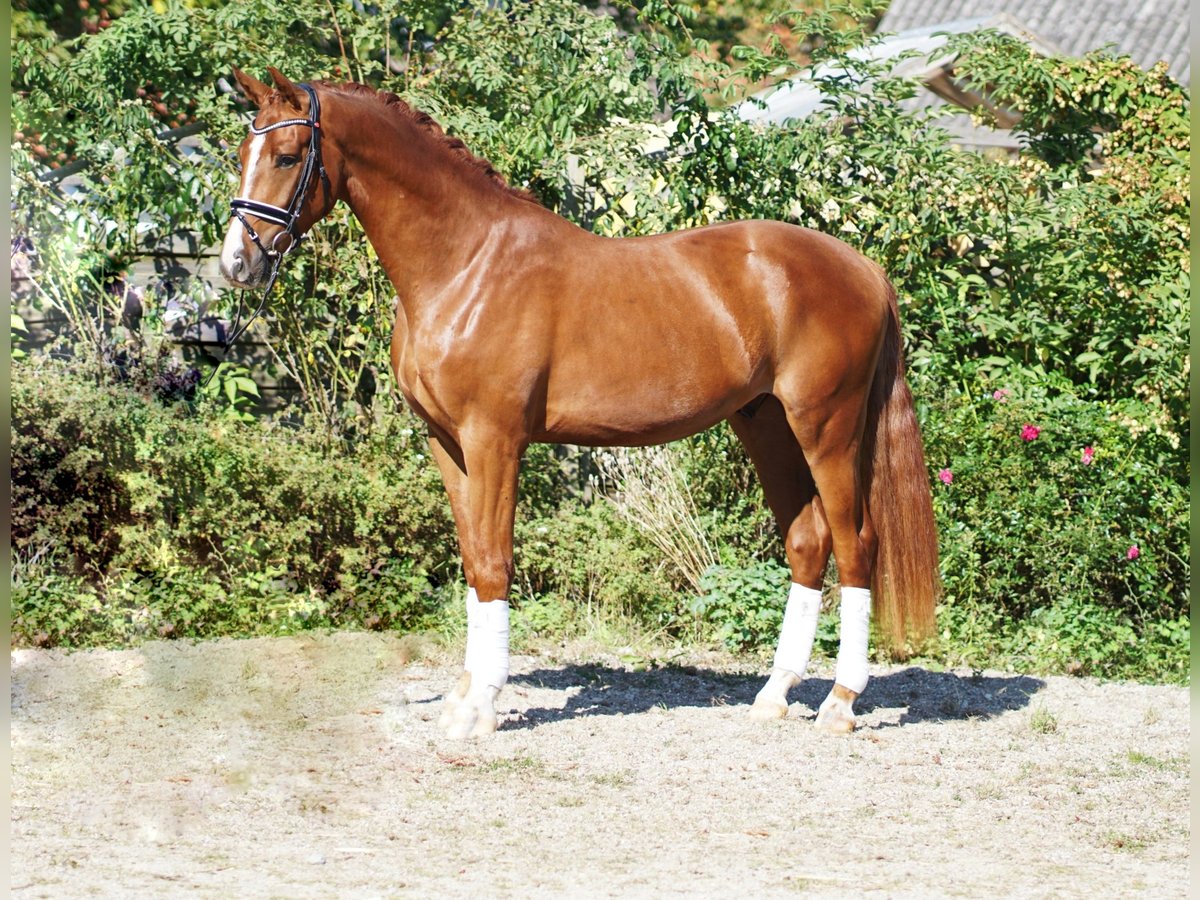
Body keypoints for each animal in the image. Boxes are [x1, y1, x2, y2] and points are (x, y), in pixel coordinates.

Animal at [220, 70, 940, 739]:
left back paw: (840, 703)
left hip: (828, 428)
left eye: (287, 155)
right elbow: (472, 560)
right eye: (242, 150)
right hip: (766, 425)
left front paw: (482, 707)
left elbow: (494, 563)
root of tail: (863, 268)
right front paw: (462, 697)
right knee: (807, 543)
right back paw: (774, 695)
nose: (235, 265)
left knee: (856, 546)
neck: (466, 265)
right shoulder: (448, 445)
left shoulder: (494, 439)